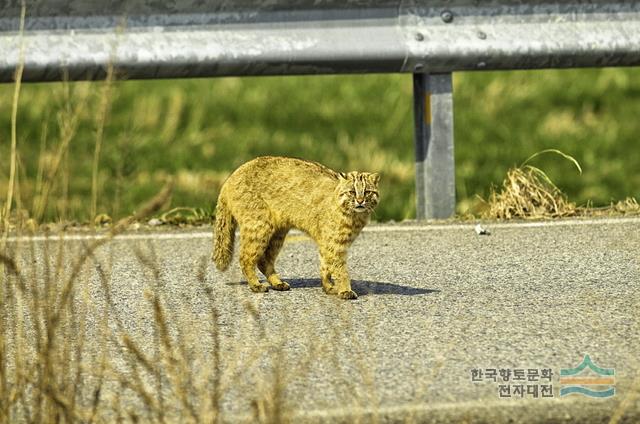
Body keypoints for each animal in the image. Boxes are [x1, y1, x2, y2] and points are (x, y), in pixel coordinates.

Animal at [210, 157, 380, 300]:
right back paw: (256, 285)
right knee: (245, 258)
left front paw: (329, 287)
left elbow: (325, 266)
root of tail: (230, 178)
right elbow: (340, 269)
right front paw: (345, 290)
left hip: (277, 233)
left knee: (264, 261)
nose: (360, 201)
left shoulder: (327, 244)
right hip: (259, 227)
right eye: (352, 192)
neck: (354, 215)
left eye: (368, 192)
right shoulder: (335, 245)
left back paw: (277, 283)